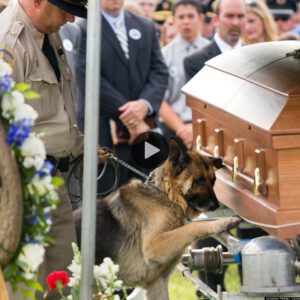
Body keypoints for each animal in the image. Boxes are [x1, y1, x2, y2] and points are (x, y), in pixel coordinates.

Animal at [74, 139, 239, 300]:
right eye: (198, 180)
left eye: (213, 180)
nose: (216, 205)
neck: (165, 195)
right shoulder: (155, 245)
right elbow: (191, 227)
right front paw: (224, 222)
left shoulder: (157, 283)